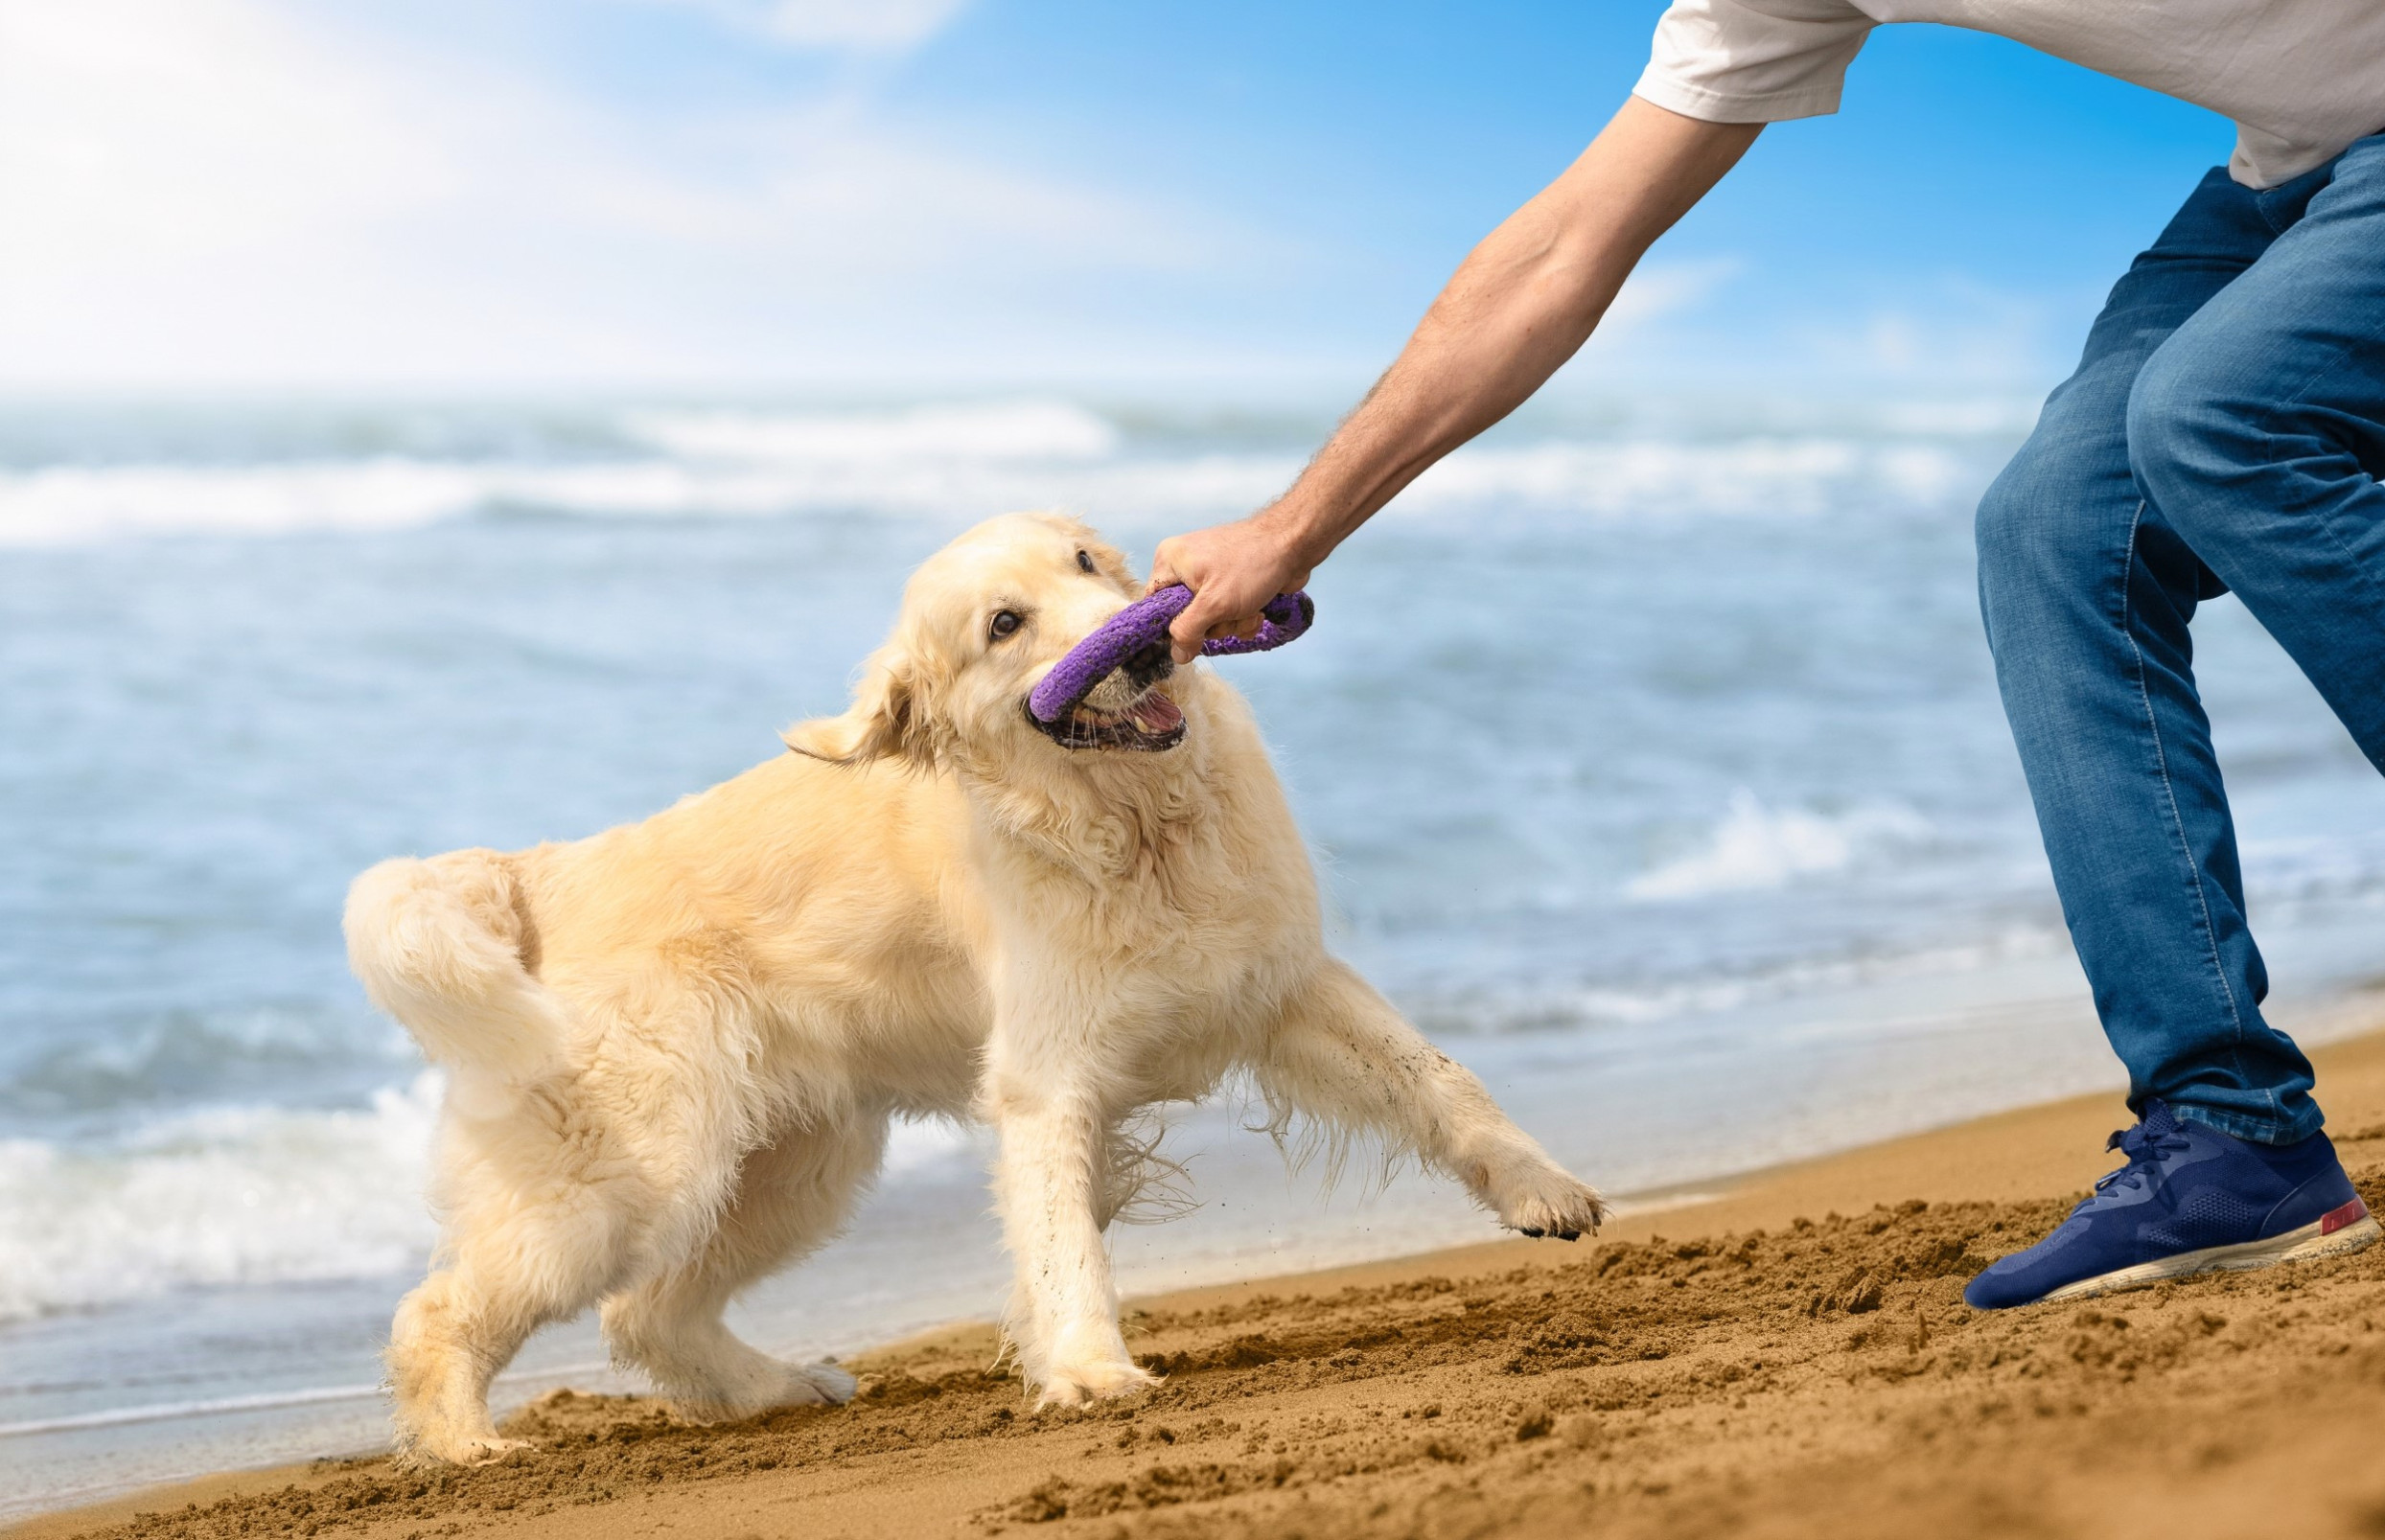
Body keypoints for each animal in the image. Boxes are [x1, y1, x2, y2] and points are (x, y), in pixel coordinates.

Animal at [345, 512, 1602, 1468]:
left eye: (1089, 563)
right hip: (635, 1171)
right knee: (438, 1311)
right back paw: (465, 1444)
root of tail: (537, 868)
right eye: (1004, 624)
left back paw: (778, 1386)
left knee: (646, 1309)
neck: (1136, 828)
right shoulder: (1049, 1079)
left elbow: (1444, 1079)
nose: (1146, 646)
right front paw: (1089, 1368)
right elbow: (1062, 1237)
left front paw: (1542, 1187)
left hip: (798, 1166)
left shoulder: (1281, 983)